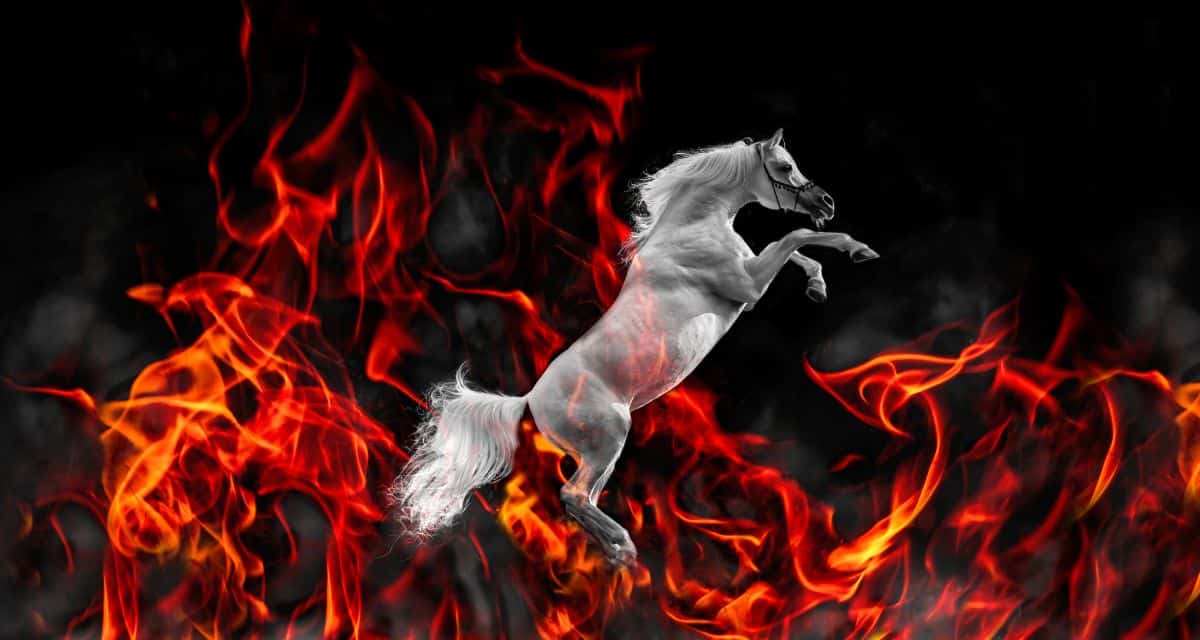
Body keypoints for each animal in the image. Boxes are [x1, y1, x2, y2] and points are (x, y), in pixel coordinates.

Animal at [389, 128, 879, 567]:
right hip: (609, 437)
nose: (827, 203)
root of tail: (529, 400)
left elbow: (795, 249)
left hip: (599, 452)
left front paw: (818, 285)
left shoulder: (750, 271)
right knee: (573, 494)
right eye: (784, 167)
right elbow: (793, 239)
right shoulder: (748, 285)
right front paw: (859, 250)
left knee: (583, 497)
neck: (692, 226)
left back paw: (615, 551)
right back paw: (624, 547)